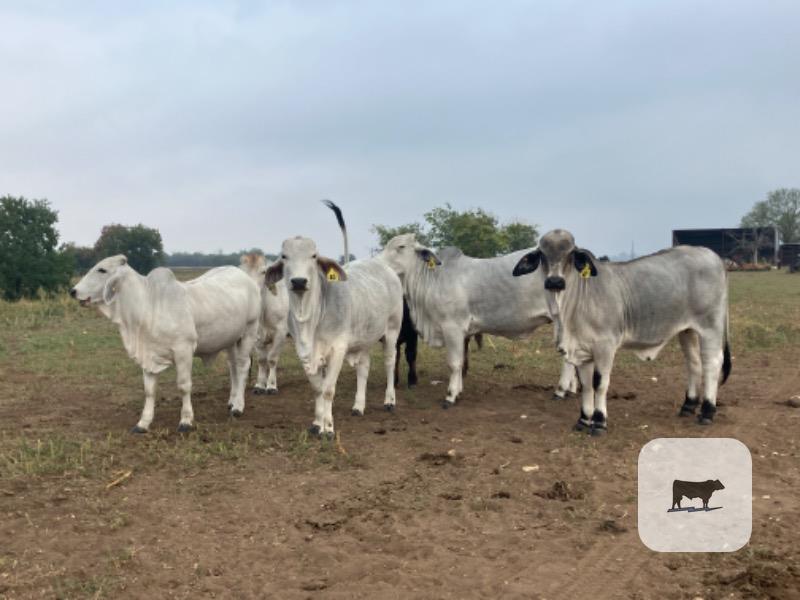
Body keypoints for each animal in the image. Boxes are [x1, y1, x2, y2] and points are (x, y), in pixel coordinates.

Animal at [70, 255, 260, 432]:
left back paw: (238, 407)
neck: (149, 307)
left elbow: (184, 386)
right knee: (233, 367)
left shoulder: (184, 350)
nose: (73, 291)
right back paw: (232, 401)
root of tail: (244, 276)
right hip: (231, 340)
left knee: (243, 366)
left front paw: (186, 420)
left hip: (249, 332)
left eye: (102, 270)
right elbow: (149, 391)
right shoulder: (147, 356)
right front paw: (143, 423)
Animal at [239, 252, 289, 395]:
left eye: (263, 272)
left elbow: (272, 359)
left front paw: (271, 386)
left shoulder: (281, 332)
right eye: (243, 272)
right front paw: (260, 385)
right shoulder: (256, 335)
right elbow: (261, 360)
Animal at [265, 206, 403, 438]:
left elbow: (328, 390)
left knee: (390, 362)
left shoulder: (337, 350)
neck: (309, 319)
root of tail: (382, 265)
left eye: (314, 256)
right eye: (284, 256)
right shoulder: (305, 354)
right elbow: (318, 389)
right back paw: (358, 406)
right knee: (363, 368)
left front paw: (328, 428)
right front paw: (317, 423)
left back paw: (390, 401)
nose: (299, 281)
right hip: (364, 339)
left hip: (392, 330)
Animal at [378, 234, 577, 408]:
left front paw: (450, 396)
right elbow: (460, 362)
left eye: (401, 246)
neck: (434, 278)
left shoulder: (452, 328)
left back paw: (560, 391)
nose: (377, 264)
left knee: (568, 356)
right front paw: (458, 391)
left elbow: (454, 363)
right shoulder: (462, 332)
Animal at [512, 229, 732, 435]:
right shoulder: (582, 350)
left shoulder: (605, 346)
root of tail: (710, 254)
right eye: (542, 254)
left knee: (712, 363)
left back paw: (707, 411)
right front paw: (583, 420)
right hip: (687, 330)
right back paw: (688, 406)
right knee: (693, 363)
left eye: (571, 254)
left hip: (710, 327)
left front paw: (599, 422)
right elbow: (586, 385)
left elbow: (599, 383)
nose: (555, 282)